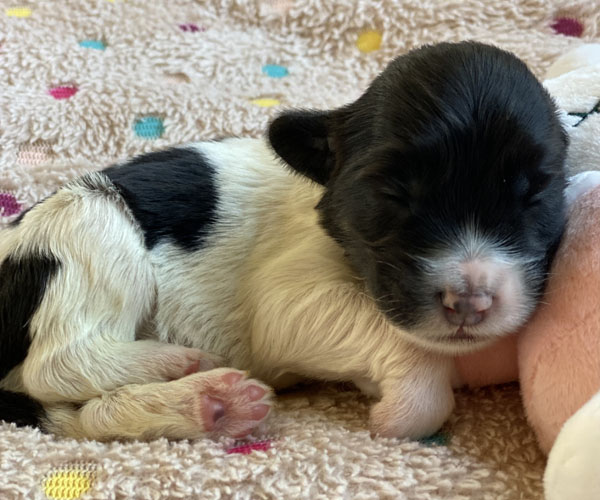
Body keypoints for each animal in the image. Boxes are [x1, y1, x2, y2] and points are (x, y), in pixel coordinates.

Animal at [0, 41, 567, 441]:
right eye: (392, 194)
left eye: (537, 193)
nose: (470, 301)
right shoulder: (289, 294)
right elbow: (396, 342)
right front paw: (408, 403)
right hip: (90, 224)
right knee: (55, 365)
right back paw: (171, 361)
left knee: (83, 415)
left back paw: (210, 406)